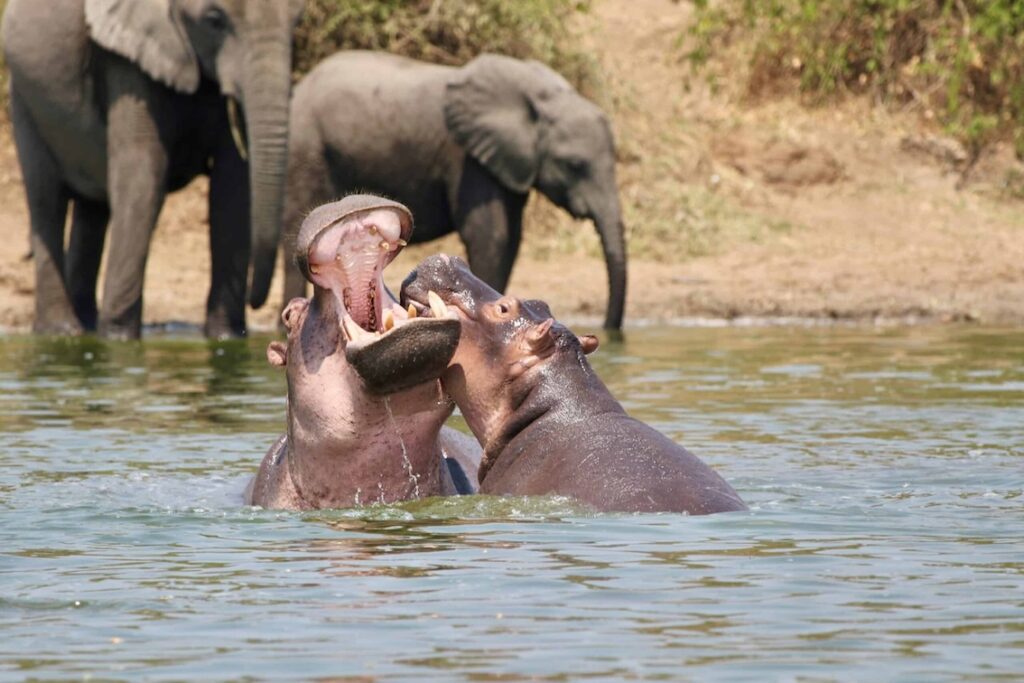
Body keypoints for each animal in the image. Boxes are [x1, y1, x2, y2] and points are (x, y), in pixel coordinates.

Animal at [2, 0, 301, 339]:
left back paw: (86, 325)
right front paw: (118, 338)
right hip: (22, 99)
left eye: (297, 22)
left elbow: (232, 185)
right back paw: (61, 332)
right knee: (46, 200)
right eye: (214, 20)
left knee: (93, 211)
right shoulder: (128, 64)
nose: (258, 302)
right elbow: (143, 175)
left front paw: (226, 336)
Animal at [284, 52, 626, 329]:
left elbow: (512, 239)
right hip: (307, 150)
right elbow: (491, 237)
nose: (609, 329)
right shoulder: (468, 161)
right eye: (574, 165)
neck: (542, 96)